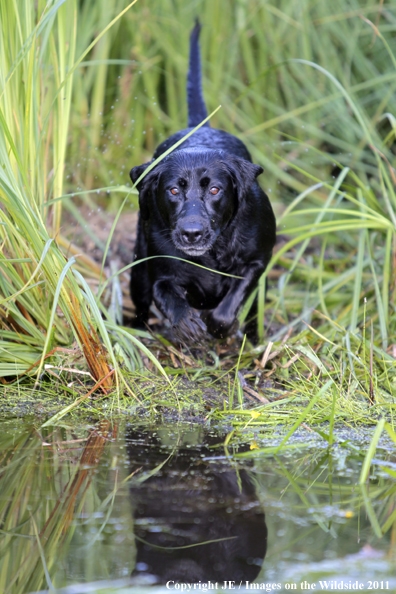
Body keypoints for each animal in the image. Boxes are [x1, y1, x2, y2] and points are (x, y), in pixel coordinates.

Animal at [130, 22, 276, 342]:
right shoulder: (161, 269)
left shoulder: (257, 261)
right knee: (141, 304)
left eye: (215, 189)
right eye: (173, 190)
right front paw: (187, 324)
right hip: (138, 269)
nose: (192, 234)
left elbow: (230, 303)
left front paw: (218, 326)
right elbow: (166, 293)